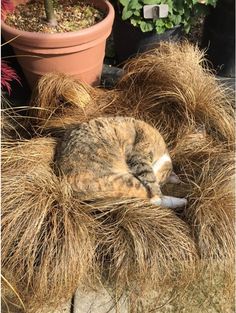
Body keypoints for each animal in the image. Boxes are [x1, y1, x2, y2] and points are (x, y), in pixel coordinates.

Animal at [54, 116, 187, 208]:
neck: (162, 153)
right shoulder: (139, 154)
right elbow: (150, 179)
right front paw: (157, 191)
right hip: (119, 179)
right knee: (150, 198)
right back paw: (180, 201)